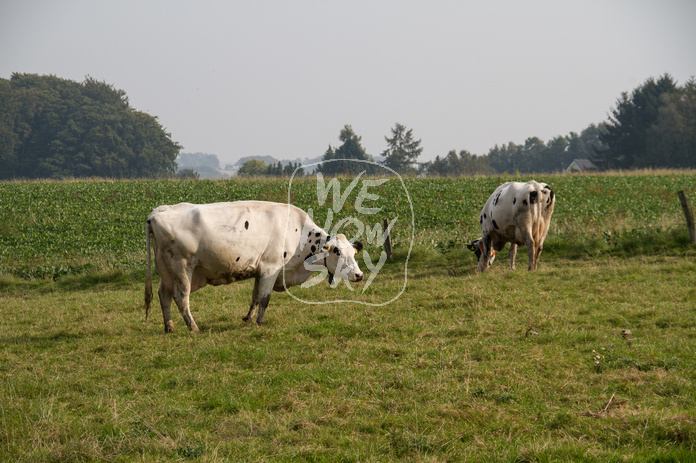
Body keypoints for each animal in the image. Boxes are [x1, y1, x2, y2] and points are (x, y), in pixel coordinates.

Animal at [145, 201, 368, 332]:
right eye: (337, 252)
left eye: (353, 253)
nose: (359, 275)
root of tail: (159, 211)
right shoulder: (271, 267)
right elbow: (264, 298)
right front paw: (260, 323)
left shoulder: (260, 269)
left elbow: (254, 296)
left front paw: (249, 318)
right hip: (182, 267)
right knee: (181, 298)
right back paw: (194, 328)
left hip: (166, 271)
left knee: (164, 295)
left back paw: (169, 327)